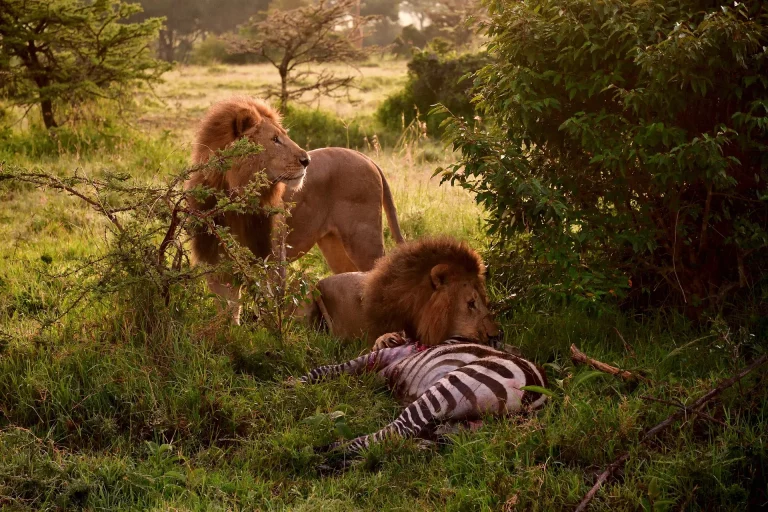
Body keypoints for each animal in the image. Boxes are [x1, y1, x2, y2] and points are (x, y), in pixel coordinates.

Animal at [298, 338, 548, 454]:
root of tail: (536, 394)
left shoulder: (380, 357)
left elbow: (328, 369)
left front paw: (294, 385)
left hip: (448, 387)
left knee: (392, 433)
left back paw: (324, 453)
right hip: (467, 425)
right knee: (429, 438)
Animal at [303, 237, 501, 348]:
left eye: (486, 302)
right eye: (471, 303)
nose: (495, 335)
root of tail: (320, 281)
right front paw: (385, 340)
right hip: (308, 291)